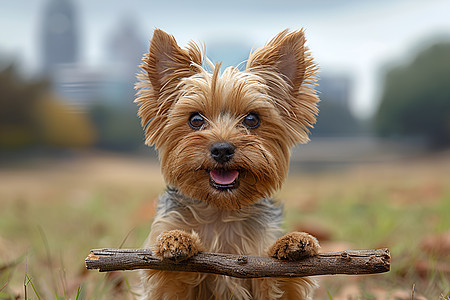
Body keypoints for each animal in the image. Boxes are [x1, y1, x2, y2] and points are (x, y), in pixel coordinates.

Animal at [135, 28, 322, 300]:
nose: (222, 149)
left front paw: (293, 243)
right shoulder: (165, 283)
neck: (221, 210)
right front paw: (175, 239)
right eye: (195, 120)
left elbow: (277, 279)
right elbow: (170, 280)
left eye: (252, 119)